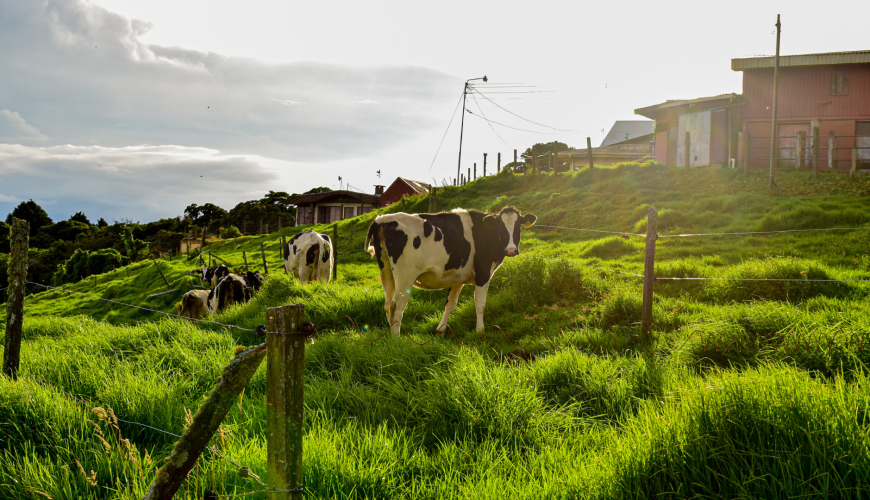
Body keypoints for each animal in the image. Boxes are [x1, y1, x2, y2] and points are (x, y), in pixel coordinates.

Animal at [364, 205, 536, 334]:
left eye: (518, 226)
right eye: (501, 227)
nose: (511, 250)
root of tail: (381, 219)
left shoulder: (458, 277)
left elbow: (450, 304)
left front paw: (441, 329)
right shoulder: (483, 273)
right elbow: (480, 303)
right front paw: (480, 330)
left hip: (386, 271)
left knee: (387, 304)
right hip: (405, 274)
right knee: (396, 306)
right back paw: (397, 338)